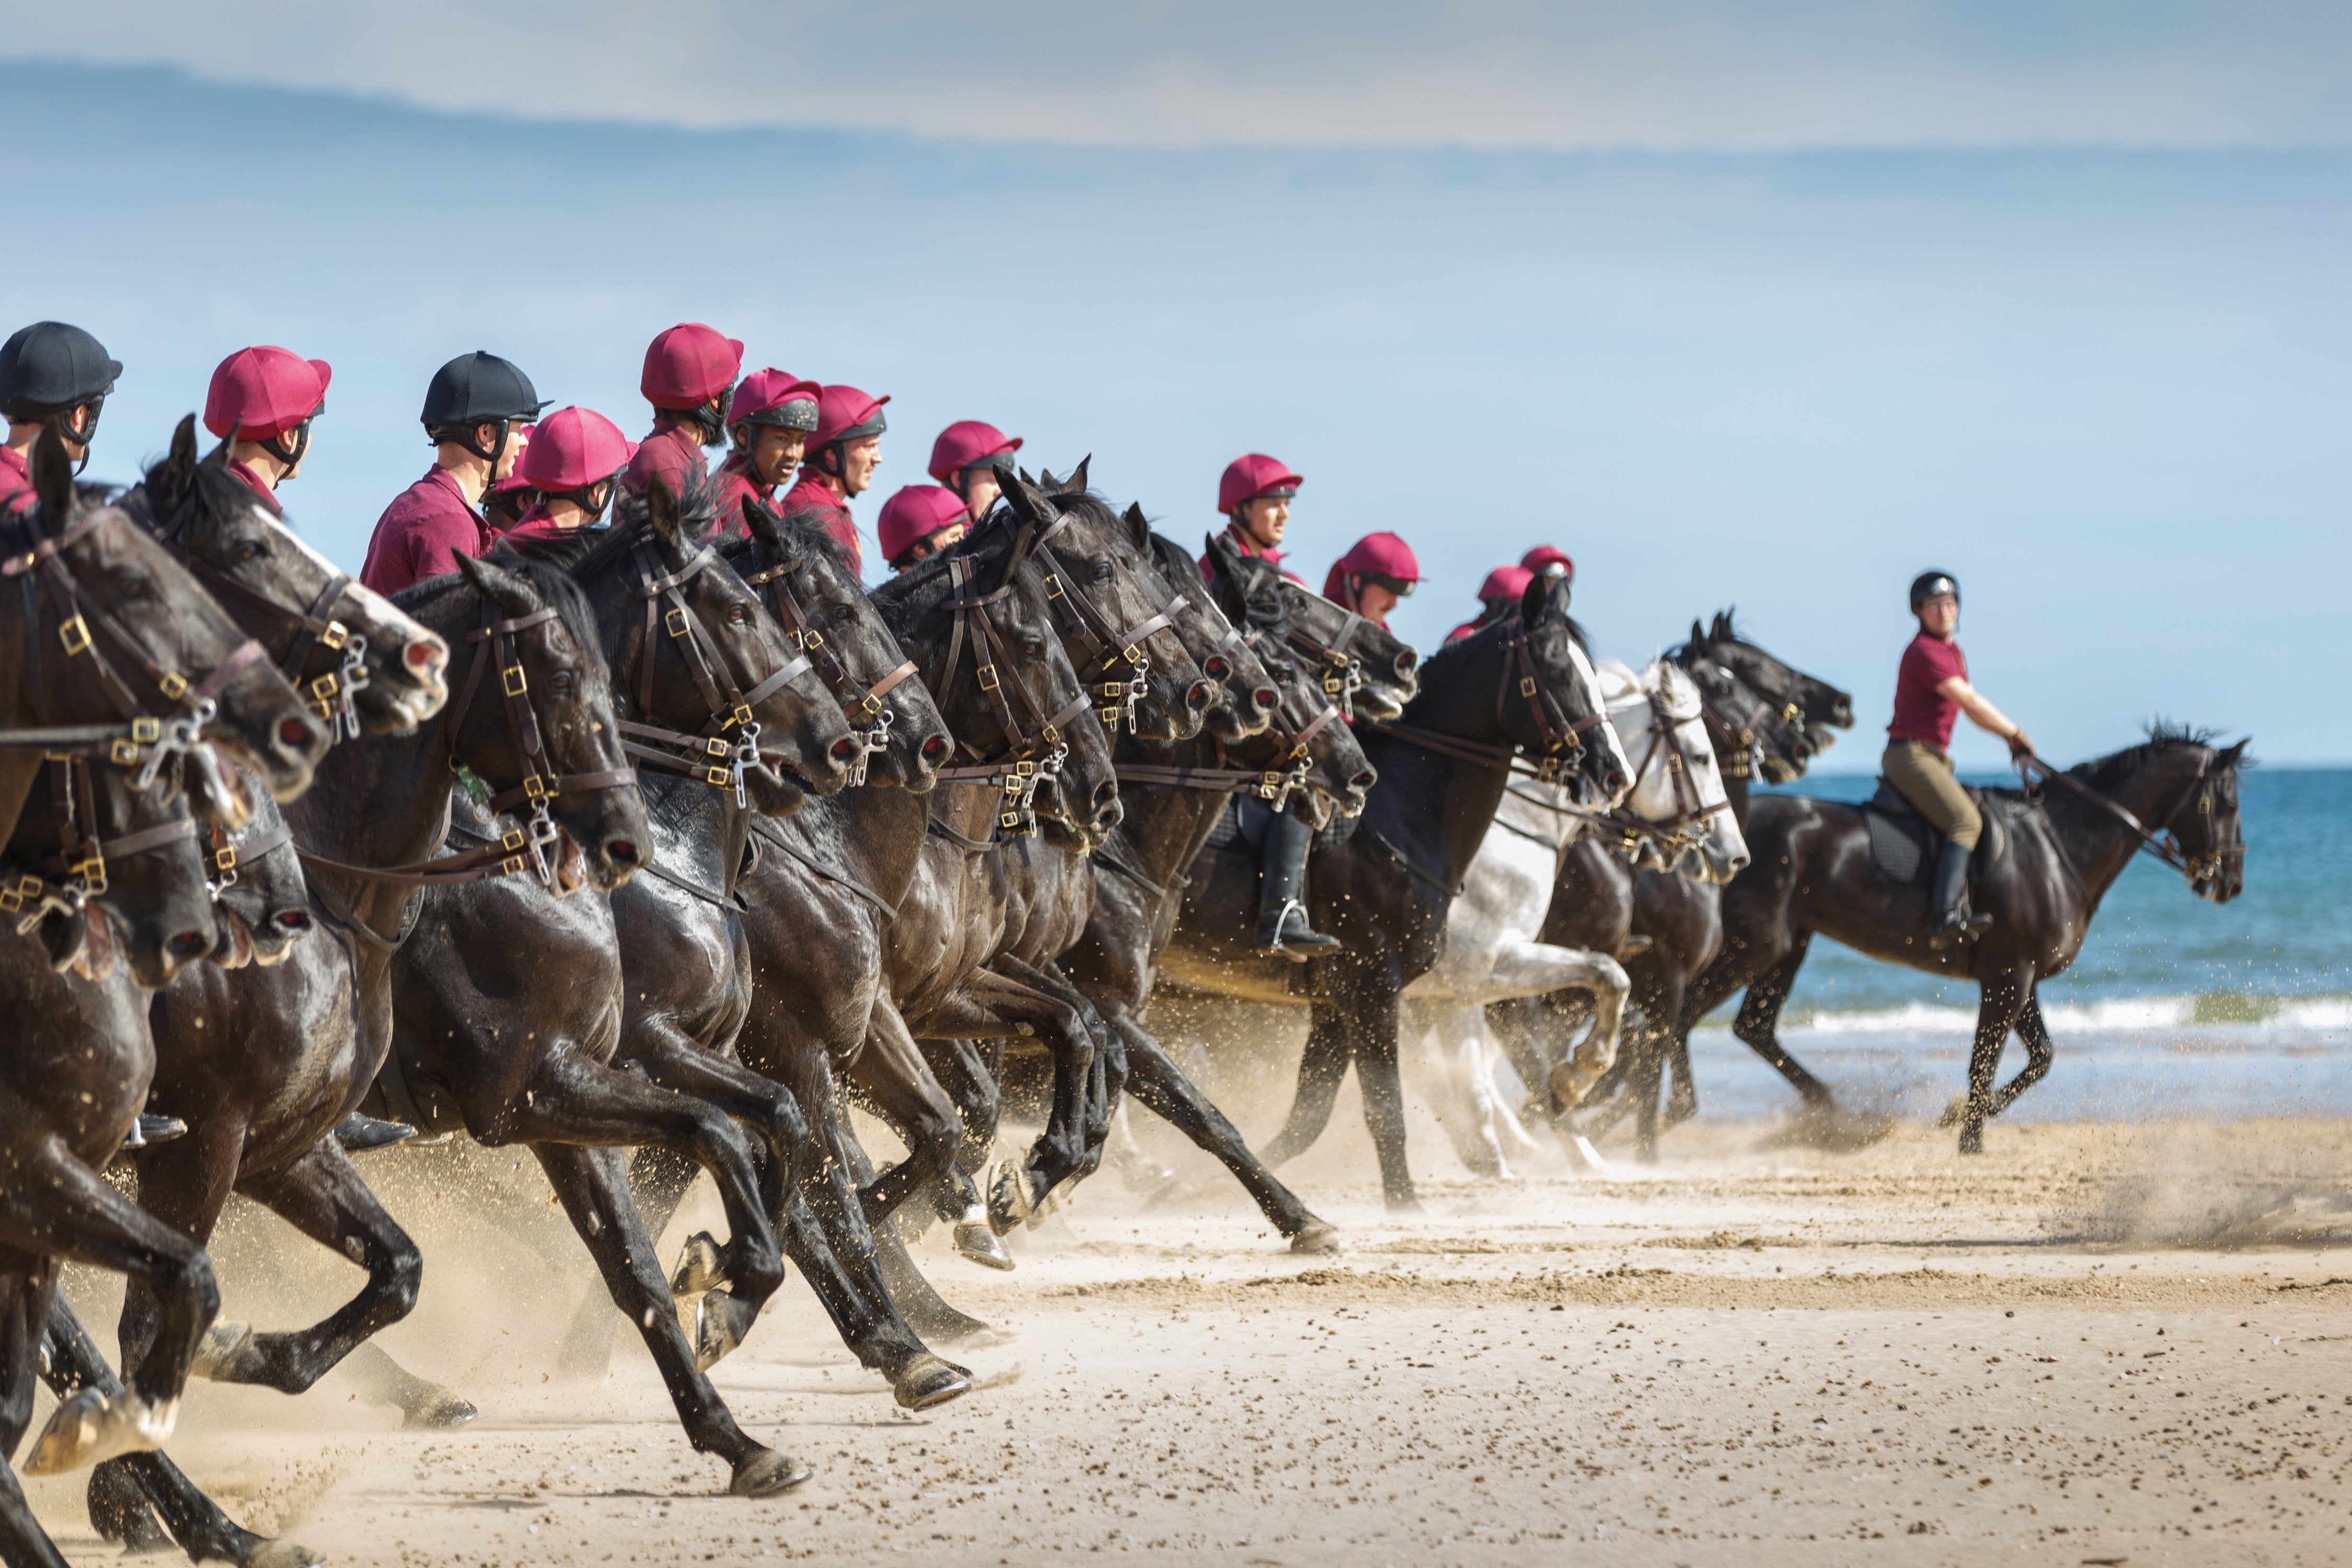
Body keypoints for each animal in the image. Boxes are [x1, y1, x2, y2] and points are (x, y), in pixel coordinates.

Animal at [1693, 733, 2239, 1151]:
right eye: (2230, 802)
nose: (2231, 883)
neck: (2058, 848)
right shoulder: (2009, 977)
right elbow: (1985, 1063)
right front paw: (1970, 1139)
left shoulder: (2018, 976)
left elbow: (2040, 1058)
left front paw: (1958, 1116)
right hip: (1753, 946)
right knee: (1681, 1015)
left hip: (1787, 947)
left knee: (1753, 1027)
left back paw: (1830, 1110)